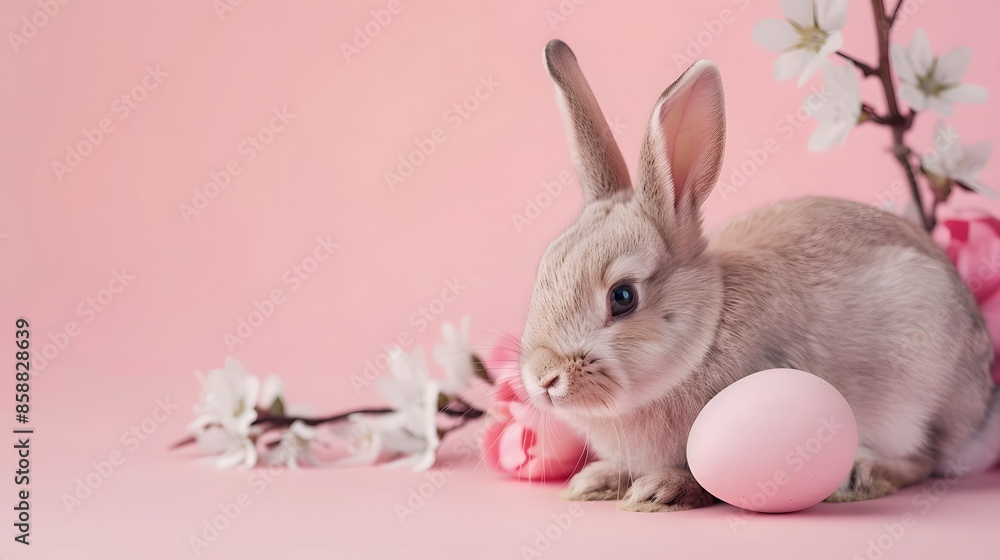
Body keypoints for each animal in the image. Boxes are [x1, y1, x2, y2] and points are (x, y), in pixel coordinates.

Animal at [518, 39, 1000, 513]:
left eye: (622, 297)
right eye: (543, 272)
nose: (543, 377)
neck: (705, 335)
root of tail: (981, 412)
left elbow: (706, 480)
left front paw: (662, 489)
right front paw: (595, 481)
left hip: (917, 396)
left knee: (925, 458)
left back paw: (862, 477)